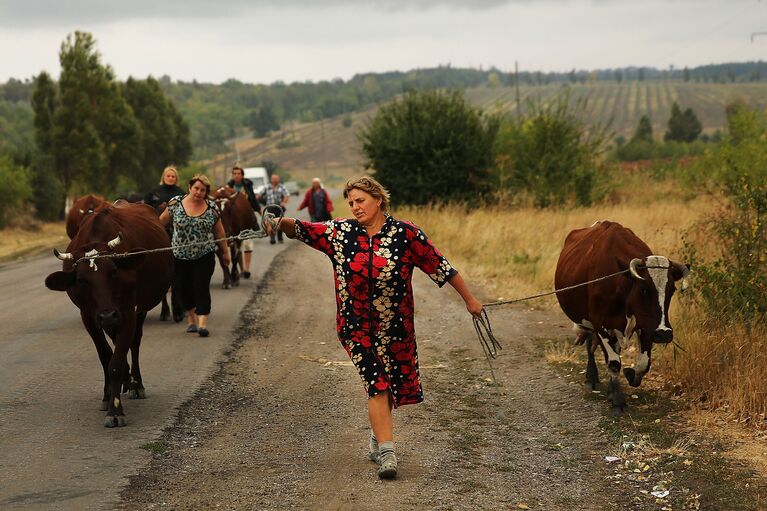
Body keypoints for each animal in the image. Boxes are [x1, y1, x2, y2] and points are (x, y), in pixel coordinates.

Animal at [46, 202, 176, 426]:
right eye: (81, 281)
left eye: (114, 272)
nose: (107, 315)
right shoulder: (89, 317)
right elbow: (106, 356)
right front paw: (108, 396)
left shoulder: (127, 312)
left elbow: (116, 361)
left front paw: (115, 412)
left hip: (136, 311)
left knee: (134, 342)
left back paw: (135, 383)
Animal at [556, 220, 692, 416]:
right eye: (644, 289)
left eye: (671, 290)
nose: (664, 333)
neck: (621, 283)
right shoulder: (600, 324)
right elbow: (613, 362)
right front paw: (618, 400)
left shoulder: (646, 326)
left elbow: (644, 363)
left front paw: (630, 375)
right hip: (590, 323)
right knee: (591, 346)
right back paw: (592, 379)